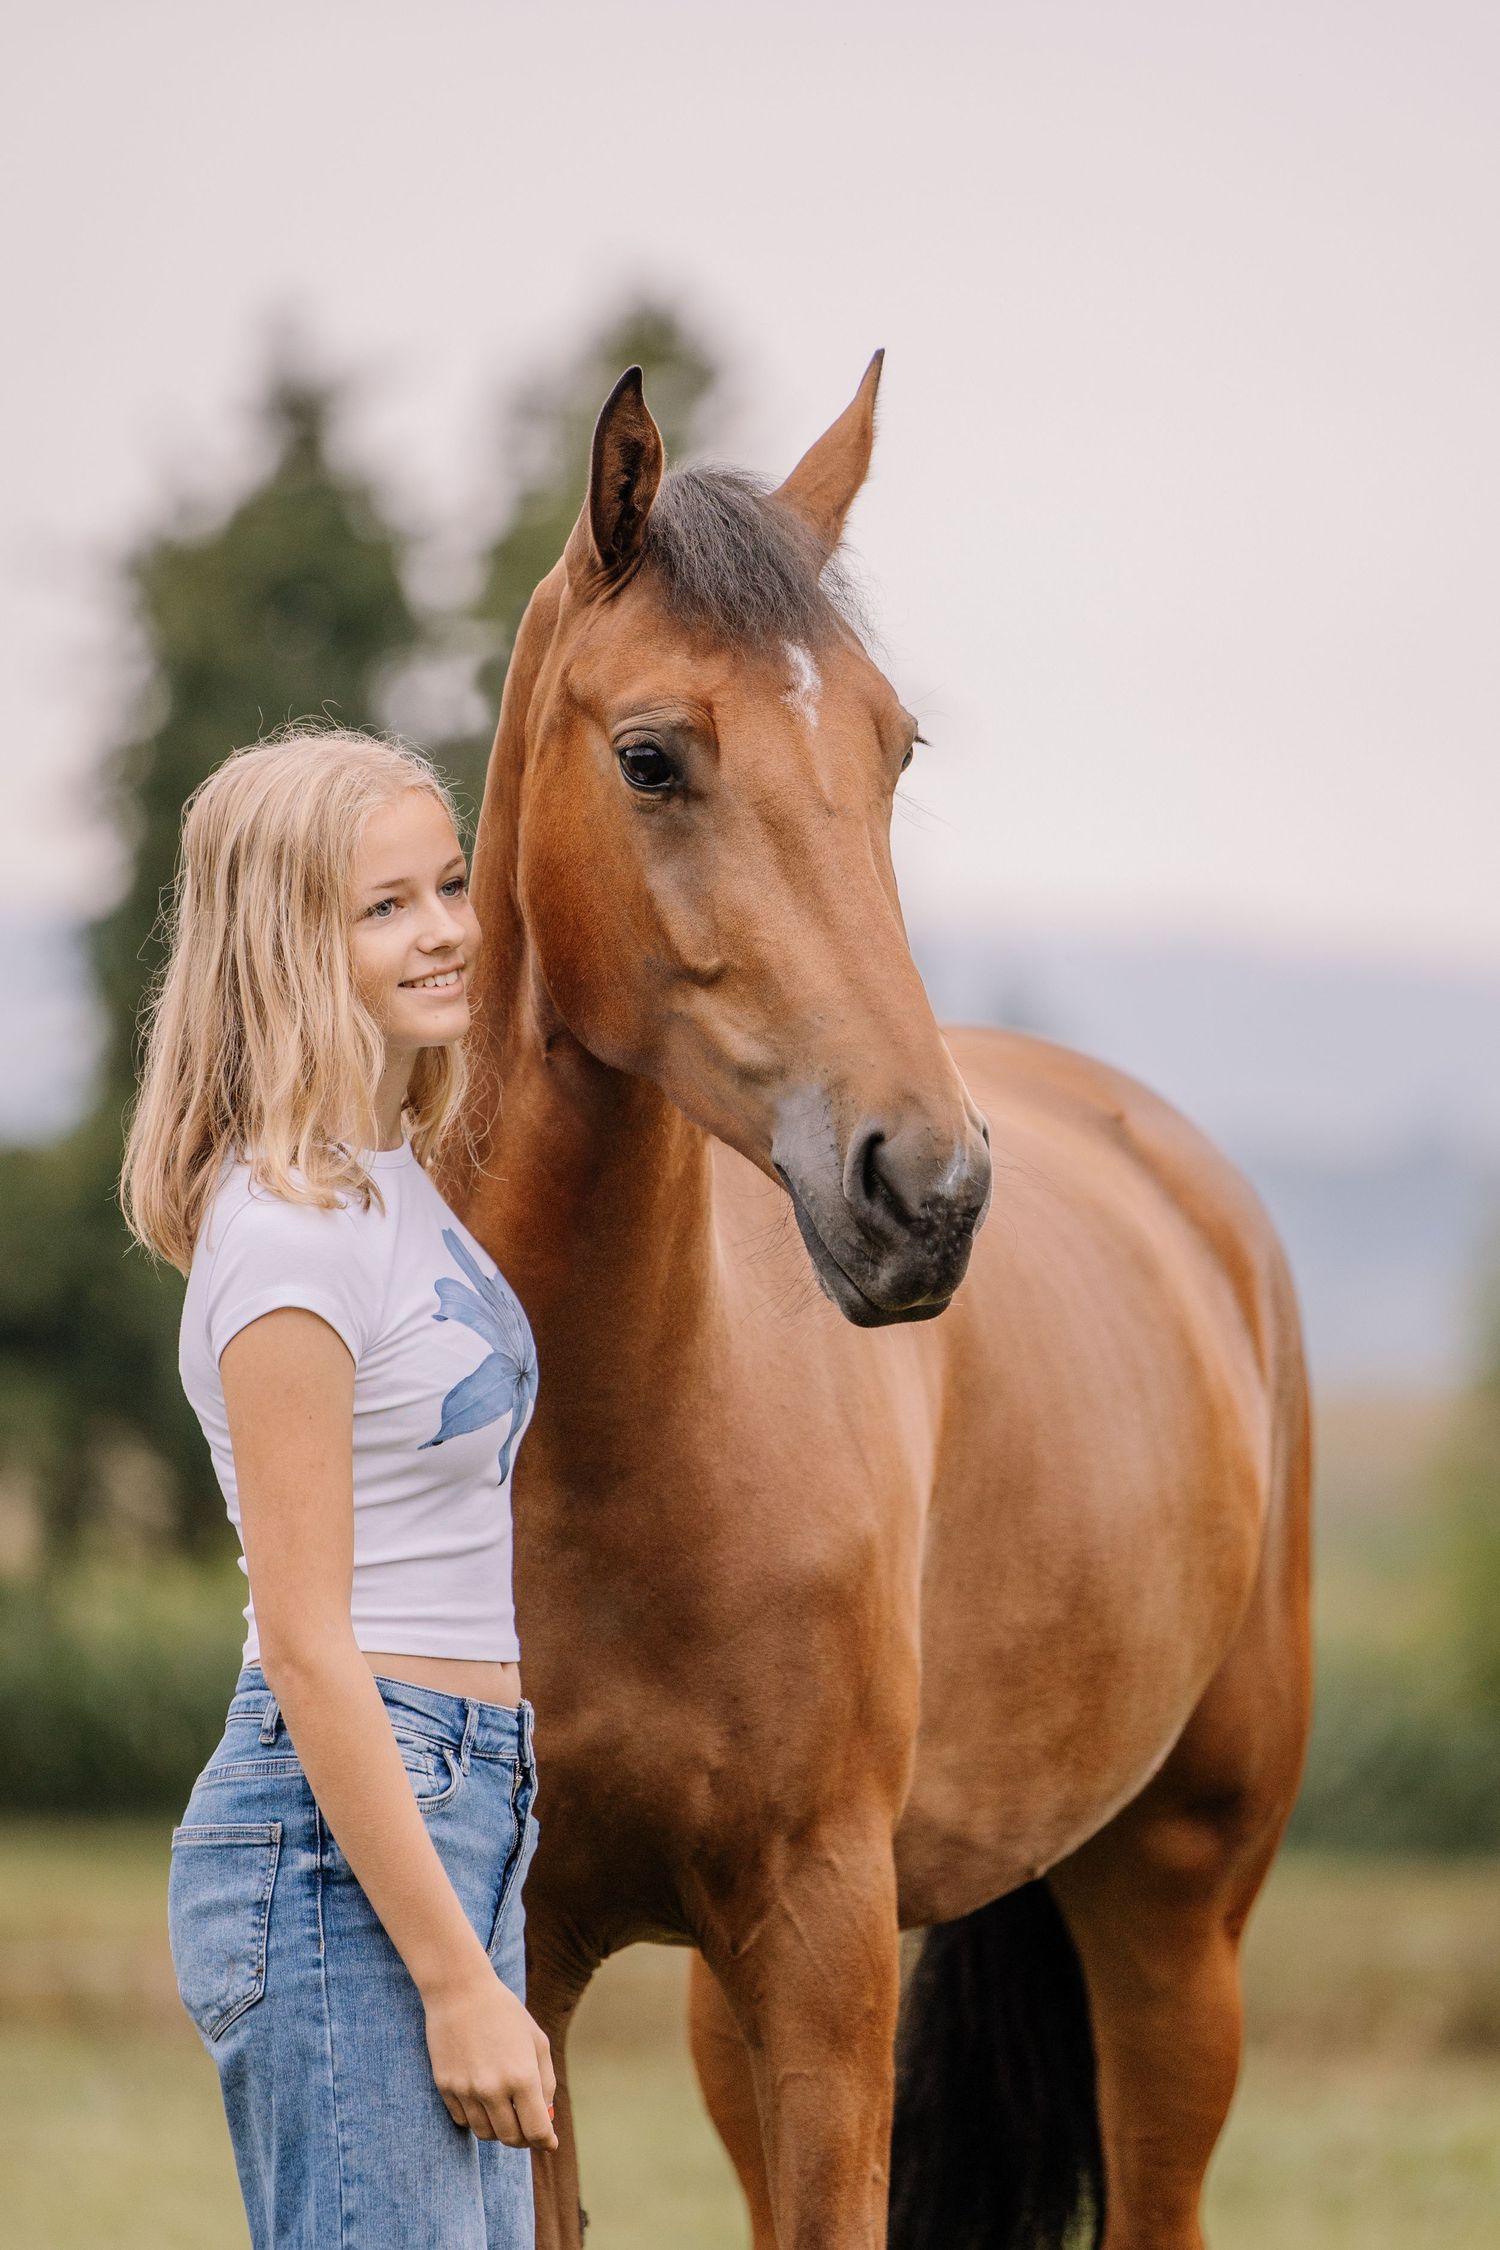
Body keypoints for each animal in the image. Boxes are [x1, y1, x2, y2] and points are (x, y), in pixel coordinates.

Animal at [436, 354, 1313, 2250]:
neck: (613, 1452)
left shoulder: (825, 1938)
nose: (928, 1190)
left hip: (1172, 1917)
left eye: (892, 747)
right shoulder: (514, 1963)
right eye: (650, 757)